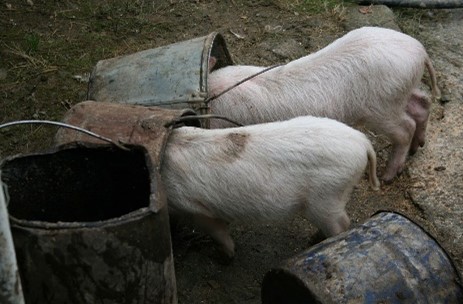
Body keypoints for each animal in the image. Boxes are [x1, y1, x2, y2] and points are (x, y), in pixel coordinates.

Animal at [161, 115, 378, 258]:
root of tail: (363, 141)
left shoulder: (194, 208)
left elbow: (218, 232)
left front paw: (224, 257)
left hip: (327, 197)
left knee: (342, 224)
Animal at [208, 26, 440, 182]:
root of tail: (421, 50)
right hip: (400, 94)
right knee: (423, 103)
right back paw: (417, 147)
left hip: (383, 107)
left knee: (406, 128)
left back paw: (388, 176)